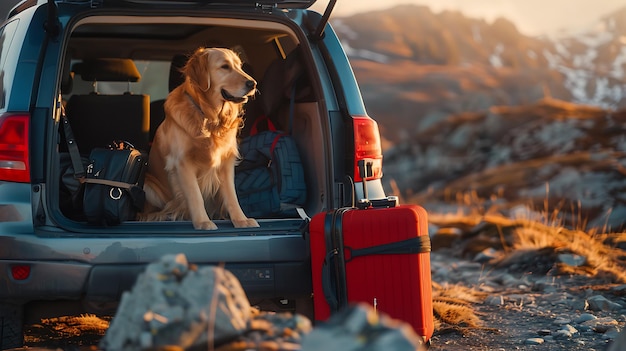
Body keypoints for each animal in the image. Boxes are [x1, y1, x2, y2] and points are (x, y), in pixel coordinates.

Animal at [140, 48, 258, 231]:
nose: (253, 84)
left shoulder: (226, 161)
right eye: (225, 67)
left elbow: (232, 196)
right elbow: (195, 196)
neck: (209, 118)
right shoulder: (182, 162)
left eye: (240, 66)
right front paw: (203, 222)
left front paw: (241, 220)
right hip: (148, 184)